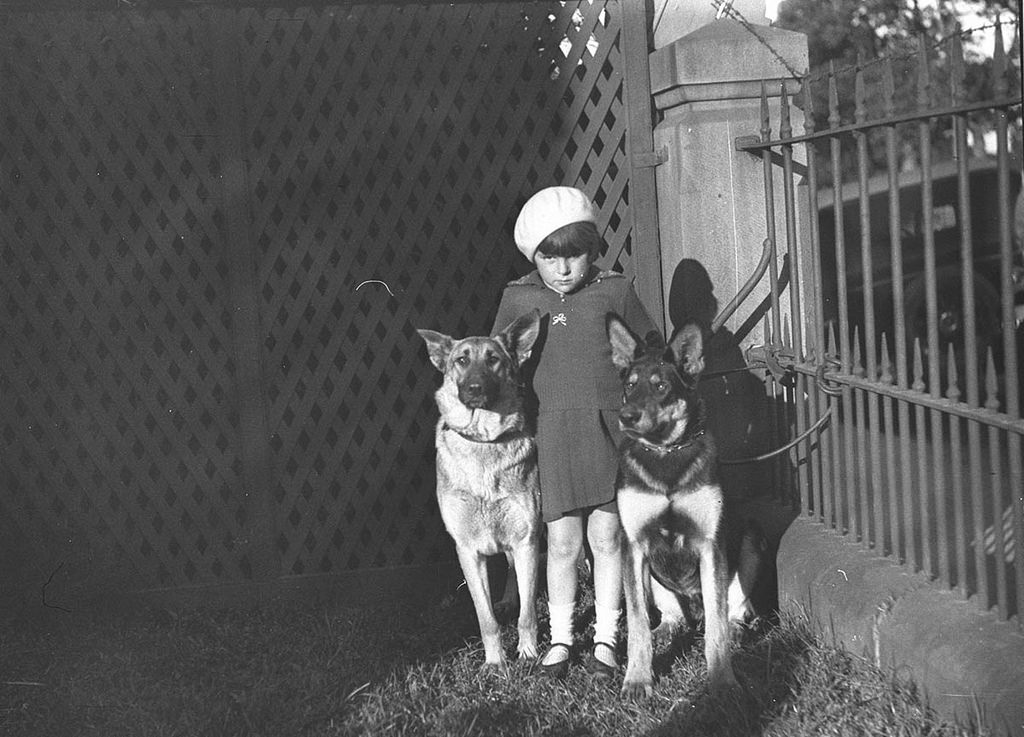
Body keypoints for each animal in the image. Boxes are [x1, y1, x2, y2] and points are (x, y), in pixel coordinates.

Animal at [415, 309, 544, 667]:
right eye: (461, 360)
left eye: (493, 360)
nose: (474, 388)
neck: (484, 440)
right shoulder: (468, 550)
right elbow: (486, 619)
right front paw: (496, 662)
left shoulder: (526, 539)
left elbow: (528, 614)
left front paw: (528, 653)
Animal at [602, 315, 765, 696]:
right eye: (629, 385)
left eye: (661, 386)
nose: (626, 416)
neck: (666, 453)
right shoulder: (633, 545)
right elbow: (637, 624)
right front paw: (638, 678)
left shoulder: (711, 544)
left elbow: (717, 628)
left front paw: (722, 680)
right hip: (654, 579)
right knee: (669, 615)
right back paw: (666, 630)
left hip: (749, 542)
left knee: (732, 611)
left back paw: (736, 630)